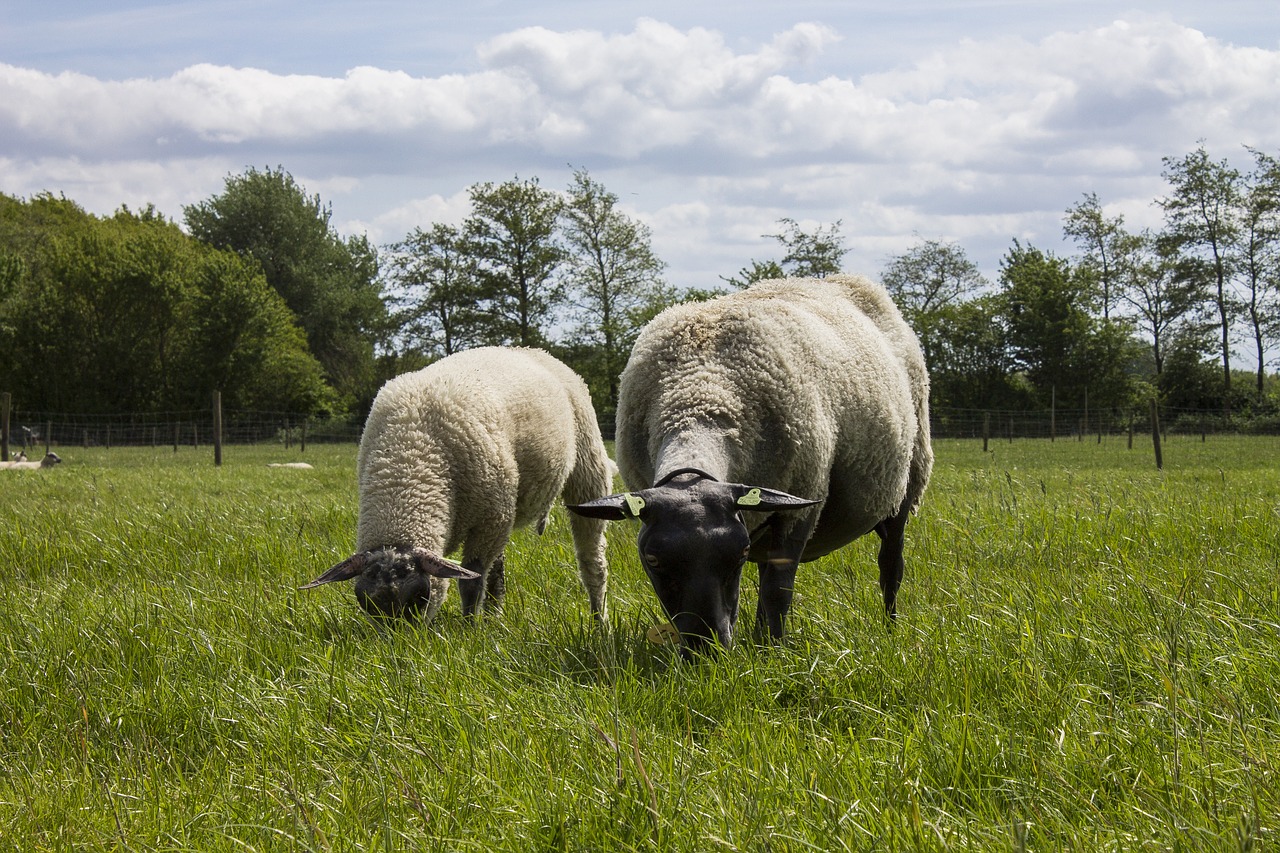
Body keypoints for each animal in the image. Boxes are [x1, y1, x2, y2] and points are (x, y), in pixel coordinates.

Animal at [304, 343, 614, 617]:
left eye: (420, 596)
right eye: (363, 600)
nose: (399, 644)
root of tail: (531, 349)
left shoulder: (489, 521)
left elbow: (471, 581)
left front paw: (469, 628)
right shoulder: (493, 519)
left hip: (587, 471)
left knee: (592, 563)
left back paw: (599, 620)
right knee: (498, 568)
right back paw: (494, 616)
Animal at [570, 272, 931, 650]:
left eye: (740, 554)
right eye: (652, 558)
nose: (705, 648)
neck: (699, 393)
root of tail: (848, 279)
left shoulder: (800, 507)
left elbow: (776, 590)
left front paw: (771, 650)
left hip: (906, 484)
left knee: (891, 565)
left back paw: (890, 627)